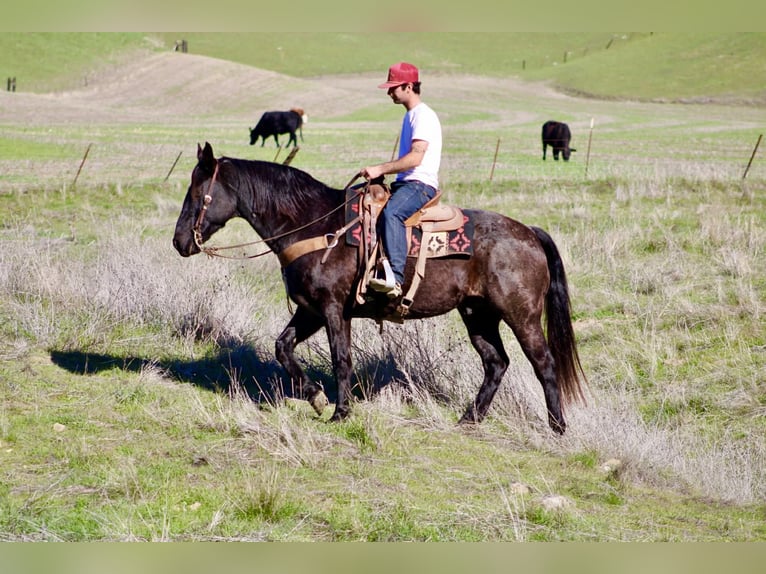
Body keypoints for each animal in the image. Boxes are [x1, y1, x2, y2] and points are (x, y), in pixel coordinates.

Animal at [173, 142, 587, 434]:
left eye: (197, 193)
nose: (179, 241)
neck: (315, 226)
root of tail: (529, 232)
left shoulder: (333, 308)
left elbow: (341, 358)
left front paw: (340, 412)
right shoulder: (310, 310)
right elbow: (283, 347)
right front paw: (316, 398)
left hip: (521, 315)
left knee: (544, 363)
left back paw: (557, 428)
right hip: (477, 314)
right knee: (496, 363)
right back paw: (469, 420)